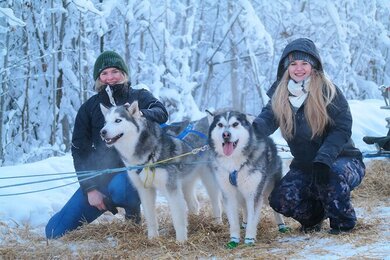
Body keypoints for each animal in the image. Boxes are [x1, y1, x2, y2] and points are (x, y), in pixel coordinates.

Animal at [100, 101, 221, 242]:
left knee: (217, 202)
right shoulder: (145, 190)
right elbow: (150, 217)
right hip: (186, 182)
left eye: (118, 120)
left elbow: (177, 217)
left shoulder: (171, 188)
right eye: (105, 122)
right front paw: (152, 238)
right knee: (194, 204)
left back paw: (218, 223)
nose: (102, 132)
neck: (148, 155)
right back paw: (194, 221)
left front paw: (181, 241)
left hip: (210, 179)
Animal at [207, 109, 286, 248]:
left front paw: (249, 239)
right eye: (220, 125)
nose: (226, 134)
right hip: (241, 195)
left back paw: (281, 225)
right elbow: (233, 221)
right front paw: (234, 239)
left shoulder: (254, 193)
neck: (234, 163)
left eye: (235, 124)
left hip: (268, 193)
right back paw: (244, 222)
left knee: (275, 209)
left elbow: (253, 218)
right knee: (244, 208)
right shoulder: (229, 194)